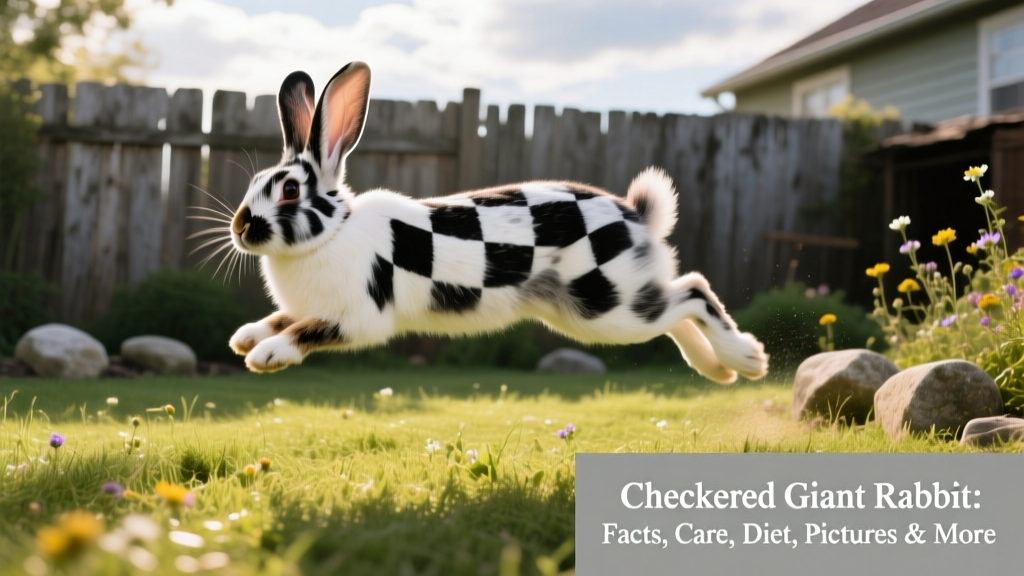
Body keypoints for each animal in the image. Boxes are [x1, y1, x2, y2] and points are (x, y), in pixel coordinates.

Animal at [226, 61, 768, 383]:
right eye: (255, 182)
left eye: (290, 190)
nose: (241, 227)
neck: (333, 234)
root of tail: (637, 216)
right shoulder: (310, 306)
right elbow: (283, 317)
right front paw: (246, 336)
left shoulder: (357, 317)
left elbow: (304, 331)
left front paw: (265, 355)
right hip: (607, 309)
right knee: (677, 309)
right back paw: (717, 370)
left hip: (606, 305)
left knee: (693, 291)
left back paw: (747, 359)